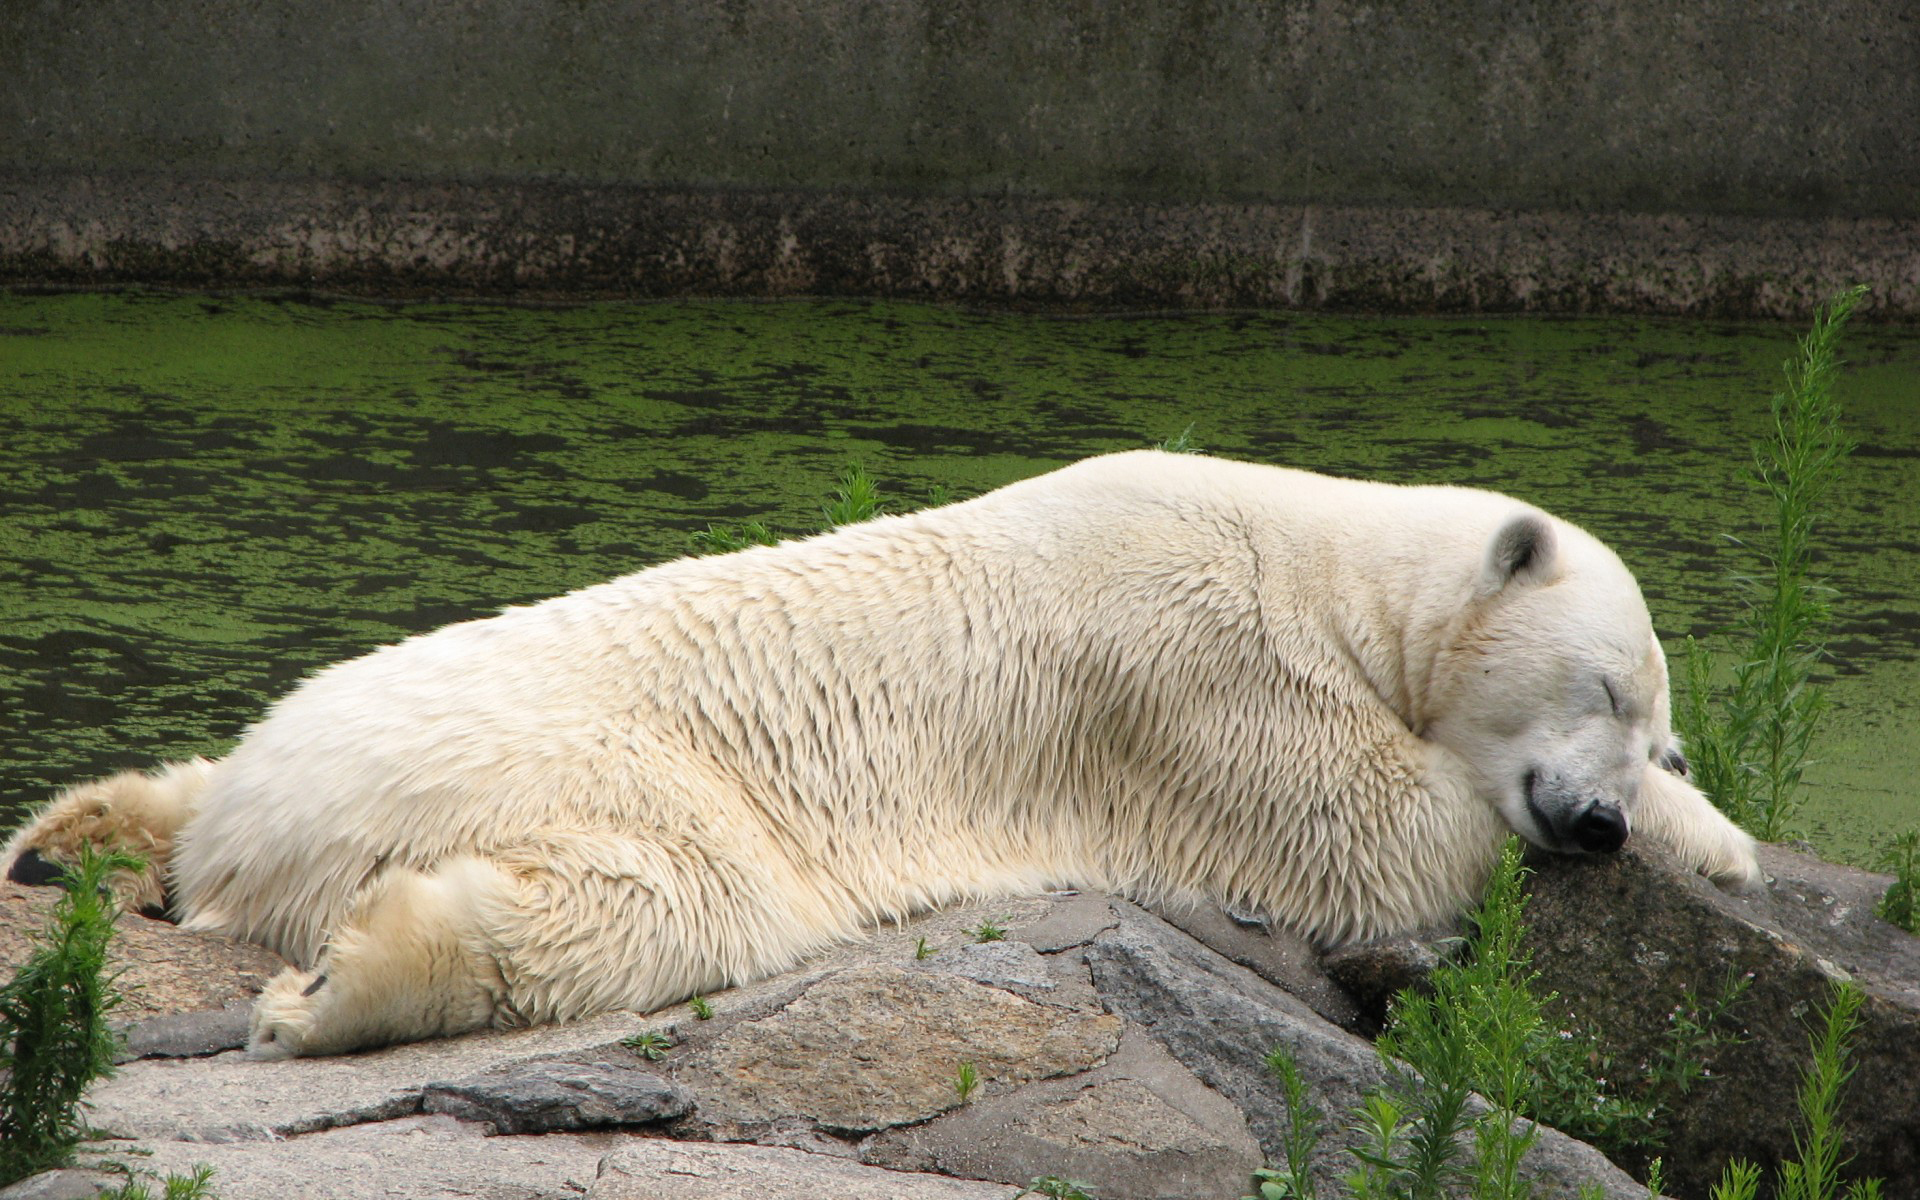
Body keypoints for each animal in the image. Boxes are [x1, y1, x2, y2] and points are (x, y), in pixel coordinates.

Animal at [0, 451, 1758, 1059]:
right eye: (1604, 684)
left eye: (1655, 724)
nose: (1605, 822)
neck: (1327, 562)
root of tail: (265, 831)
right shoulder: (1192, 673)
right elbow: (1369, 826)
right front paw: (1710, 844)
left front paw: (1712, 832)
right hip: (560, 757)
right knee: (662, 896)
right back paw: (333, 987)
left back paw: (71, 835)